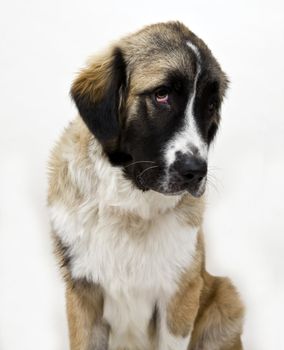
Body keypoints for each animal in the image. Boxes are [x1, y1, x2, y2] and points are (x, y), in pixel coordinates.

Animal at [47, 21, 244, 350]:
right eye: (162, 95)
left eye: (211, 105)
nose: (196, 172)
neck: (130, 207)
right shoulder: (83, 294)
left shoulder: (179, 297)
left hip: (226, 297)